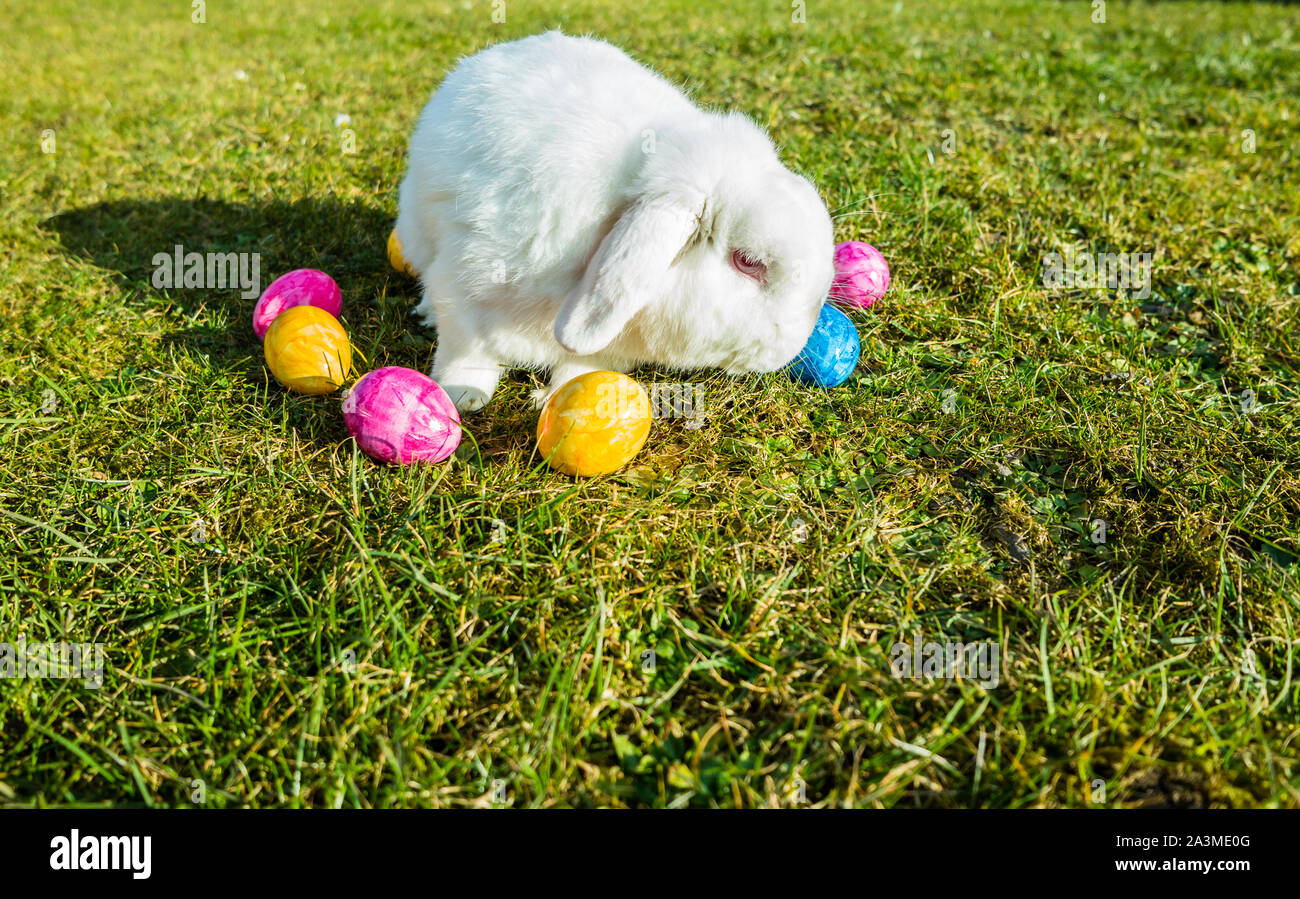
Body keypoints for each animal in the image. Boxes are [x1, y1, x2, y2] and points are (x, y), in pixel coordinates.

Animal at [395, 30, 835, 412]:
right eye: (748, 263)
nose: (792, 346)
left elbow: (580, 369)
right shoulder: (463, 287)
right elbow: (465, 351)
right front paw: (463, 397)